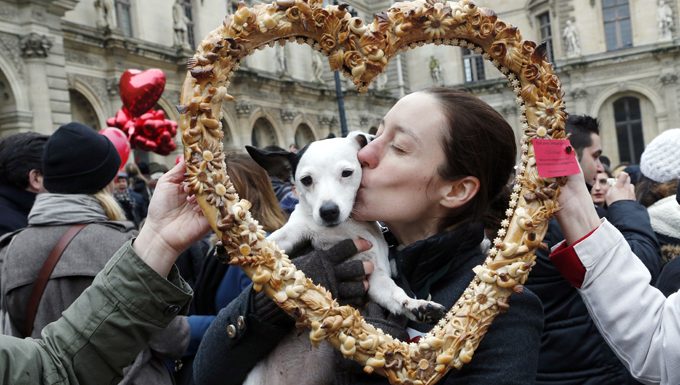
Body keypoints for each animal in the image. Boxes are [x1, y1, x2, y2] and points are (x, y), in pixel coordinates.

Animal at [244, 130, 446, 382]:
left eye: (347, 173)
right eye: (306, 180)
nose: (328, 211)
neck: (341, 231)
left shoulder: (376, 277)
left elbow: (396, 295)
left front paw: (417, 305)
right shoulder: (295, 231)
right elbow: (275, 240)